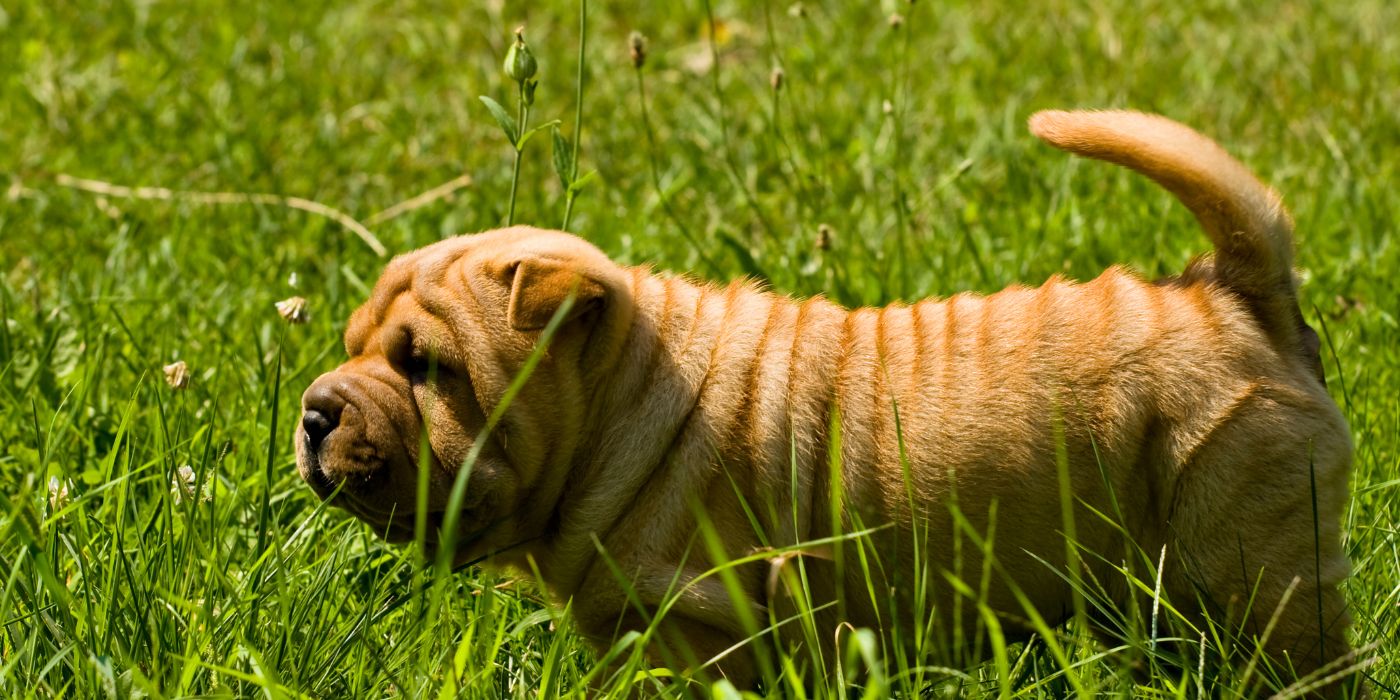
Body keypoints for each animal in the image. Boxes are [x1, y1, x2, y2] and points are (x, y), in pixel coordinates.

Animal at [295, 110, 1355, 694]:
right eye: (353, 346)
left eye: (425, 365)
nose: (313, 411)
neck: (627, 404)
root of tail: (1236, 291)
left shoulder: (703, 633)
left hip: (1249, 558)